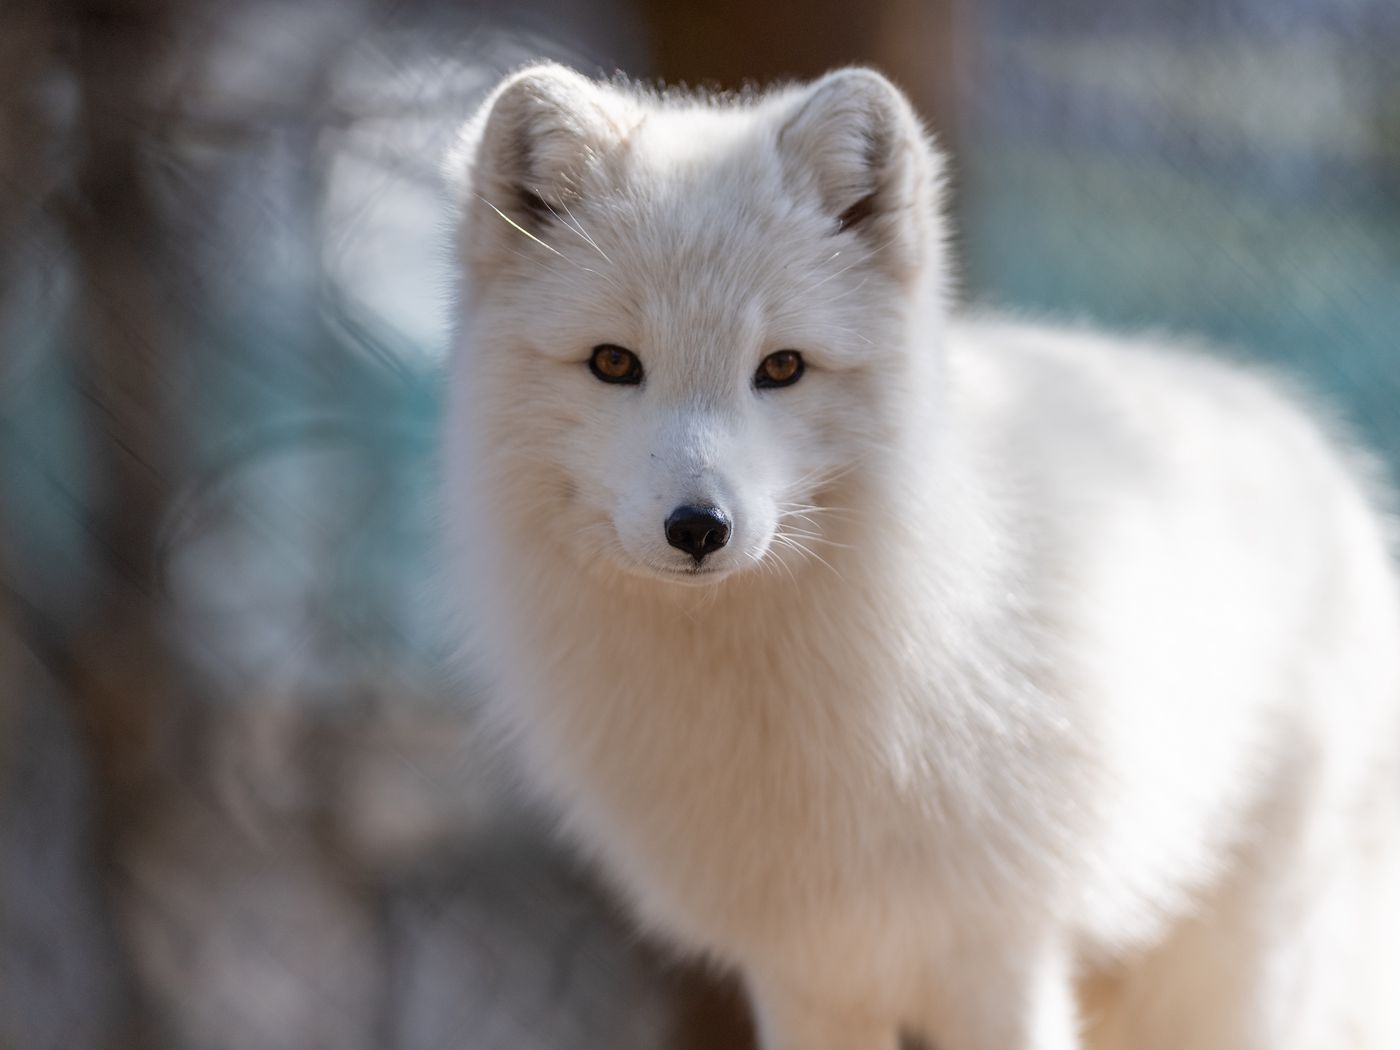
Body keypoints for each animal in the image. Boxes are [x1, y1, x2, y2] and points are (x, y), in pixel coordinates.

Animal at [442, 67, 1400, 1050]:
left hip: (1237, 980)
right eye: (612, 362)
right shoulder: (806, 972)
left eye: (781, 367)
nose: (698, 527)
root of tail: (1309, 437)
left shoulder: (999, 951)